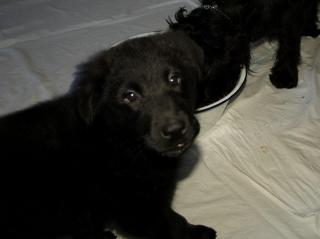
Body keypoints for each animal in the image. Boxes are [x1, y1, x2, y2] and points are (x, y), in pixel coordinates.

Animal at [0, 32, 216, 239]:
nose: (175, 130)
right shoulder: (138, 210)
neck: (117, 139)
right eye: (130, 96)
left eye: (174, 78)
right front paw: (198, 232)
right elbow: (174, 225)